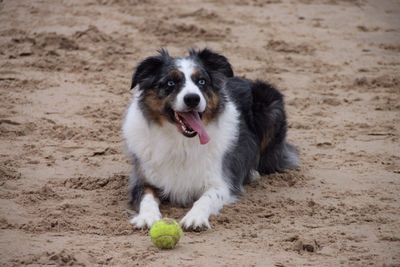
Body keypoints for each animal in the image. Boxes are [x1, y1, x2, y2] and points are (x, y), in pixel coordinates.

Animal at [123, 49, 298, 231]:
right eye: (170, 83)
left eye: (201, 81)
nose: (192, 98)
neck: (181, 141)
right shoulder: (142, 180)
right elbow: (147, 198)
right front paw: (147, 217)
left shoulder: (221, 182)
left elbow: (206, 198)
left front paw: (195, 218)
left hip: (268, 105)